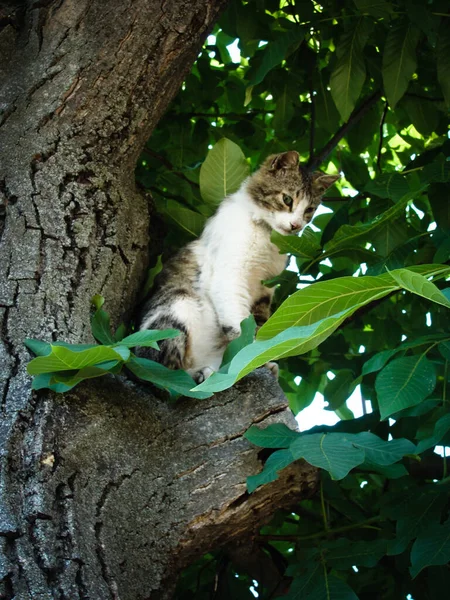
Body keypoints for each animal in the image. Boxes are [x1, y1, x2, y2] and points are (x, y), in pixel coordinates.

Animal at [137, 152, 338, 382]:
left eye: (309, 210)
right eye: (287, 199)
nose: (296, 225)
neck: (267, 237)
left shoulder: (265, 288)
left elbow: (259, 325)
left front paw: (263, 359)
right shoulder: (230, 275)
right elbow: (241, 324)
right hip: (177, 307)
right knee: (164, 374)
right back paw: (199, 374)